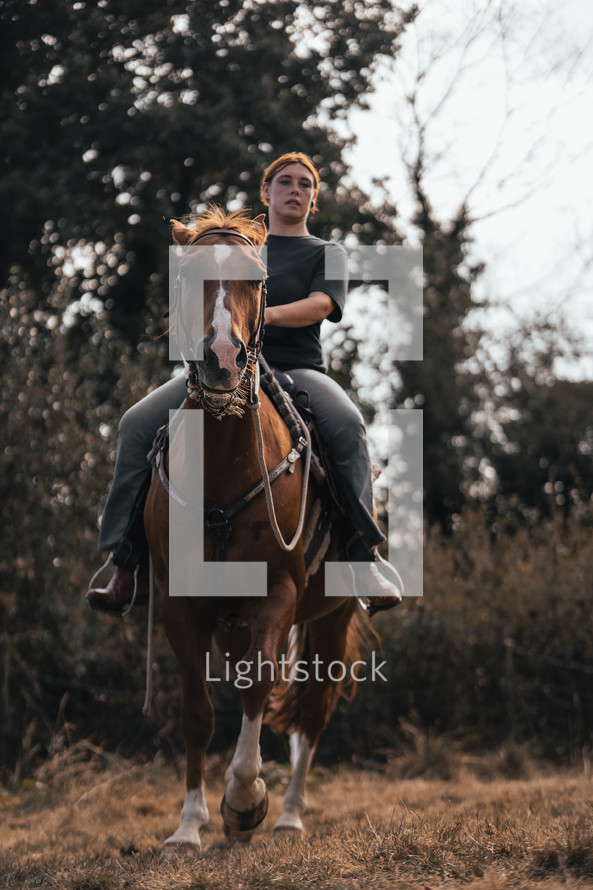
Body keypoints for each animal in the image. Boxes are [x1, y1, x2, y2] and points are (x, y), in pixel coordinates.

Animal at [143, 206, 368, 852]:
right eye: (185, 275)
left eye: (256, 281)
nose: (221, 358)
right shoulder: (180, 604)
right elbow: (197, 709)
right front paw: (190, 825)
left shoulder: (280, 593)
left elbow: (257, 683)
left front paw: (244, 801)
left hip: (333, 616)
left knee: (312, 713)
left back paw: (289, 816)